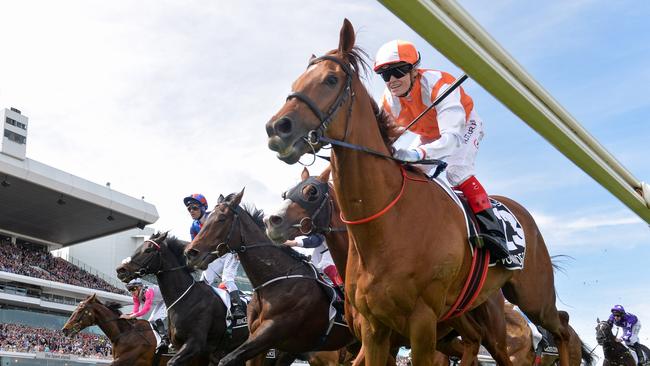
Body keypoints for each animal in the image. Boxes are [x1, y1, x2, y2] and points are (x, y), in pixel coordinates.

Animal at [115, 233, 247, 364]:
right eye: (138, 248)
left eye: (148, 250)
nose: (120, 270)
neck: (187, 298)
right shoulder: (184, 347)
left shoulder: (195, 344)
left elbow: (171, 362)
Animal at [182, 192, 354, 366]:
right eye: (206, 221)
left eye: (221, 219)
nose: (190, 253)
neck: (275, 279)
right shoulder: (258, 340)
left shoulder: (270, 333)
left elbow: (226, 360)